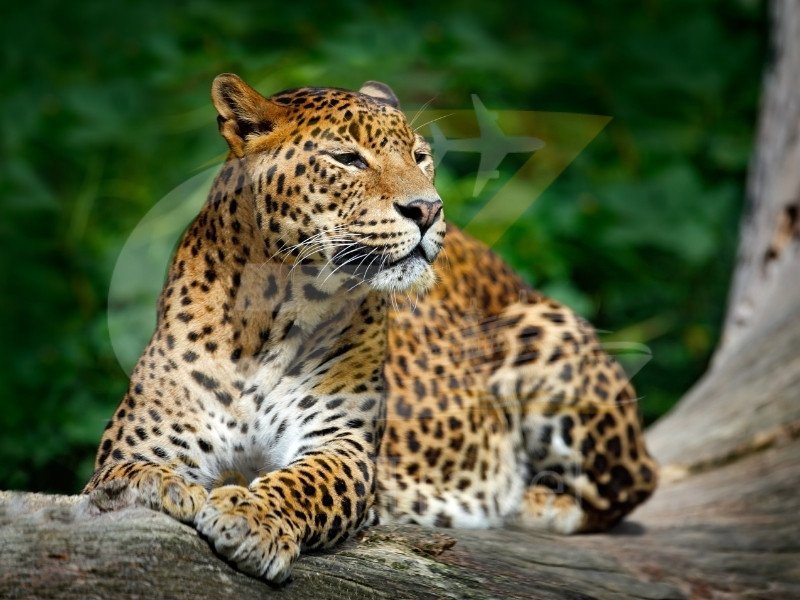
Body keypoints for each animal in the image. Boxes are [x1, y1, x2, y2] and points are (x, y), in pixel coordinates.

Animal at [84, 73, 658, 584]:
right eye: (347, 159)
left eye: (419, 157)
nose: (428, 209)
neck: (273, 313)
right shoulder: (139, 442)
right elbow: (125, 476)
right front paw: (165, 489)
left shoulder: (343, 445)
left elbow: (303, 483)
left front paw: (249, 516)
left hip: (543, 335)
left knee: (632, 483)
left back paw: (530, 501)